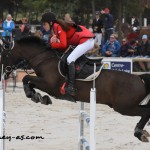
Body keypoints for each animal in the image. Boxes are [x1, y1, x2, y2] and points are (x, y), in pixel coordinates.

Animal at [0, 36, 150, 142]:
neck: (45, 60)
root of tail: (139, 79)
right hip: (126, 106)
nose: (3, 73)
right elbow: (29, 82)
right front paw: (39, 97)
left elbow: (26, 78)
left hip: (124, 107)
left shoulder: (50, 85)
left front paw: (37, 96)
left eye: (5, 55)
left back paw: (139, 132)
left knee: (145, 112)